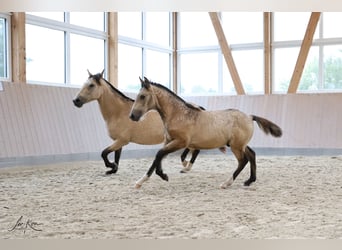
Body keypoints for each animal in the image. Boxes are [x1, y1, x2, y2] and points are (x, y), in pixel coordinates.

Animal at [73, 70, 203, 175]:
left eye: (91, 85)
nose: (76, 101)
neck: (118, 112)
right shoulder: (118, 141)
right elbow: (115, 156)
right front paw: (113, 169)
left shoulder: (122, 140)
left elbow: (104, 153)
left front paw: (111, 166)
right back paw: (185, 165)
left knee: (195, 151)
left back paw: (186, 166)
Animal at [130, 77, 282, 188]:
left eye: (142, 96)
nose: (132, 116)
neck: (178, 115)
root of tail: (250, 116)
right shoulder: (169, 141)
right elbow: (157, 158)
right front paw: (140, 181)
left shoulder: (180, 142)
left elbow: (159, 154)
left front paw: (163, 175)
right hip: (239, 145)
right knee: (251, 155)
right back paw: (249, 181)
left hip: (236, 146)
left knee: (242, 161)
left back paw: (227, 183)